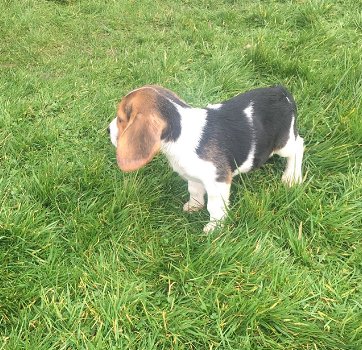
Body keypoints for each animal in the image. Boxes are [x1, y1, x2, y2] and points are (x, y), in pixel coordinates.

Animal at [109, 85, 304, 232]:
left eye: (120, 119)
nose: (107, 130)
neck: (180, 132)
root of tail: (280, 91)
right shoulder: (194, 175)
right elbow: (194, 191)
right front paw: (194, 206)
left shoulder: (218, 181)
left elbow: (215, 207)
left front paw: (214, 228)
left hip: (283, 144)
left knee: (299, 146)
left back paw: (292, 177)